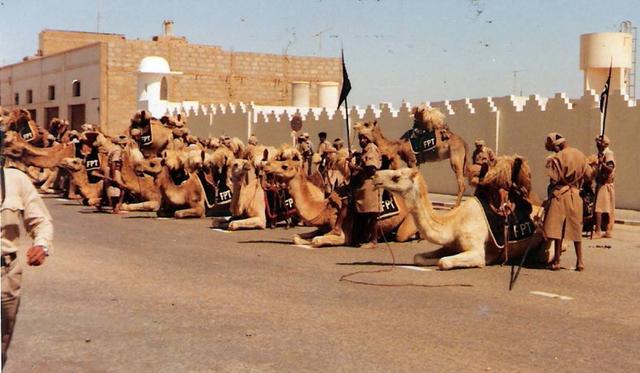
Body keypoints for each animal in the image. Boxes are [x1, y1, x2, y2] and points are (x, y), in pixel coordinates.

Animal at [372, 164, 548, 268]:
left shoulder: (476, 249)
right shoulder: (450, 244)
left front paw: (487, 260)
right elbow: (419, 257)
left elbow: (444, 262)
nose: (375, 176)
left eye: (396, 177)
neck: (453, 223)